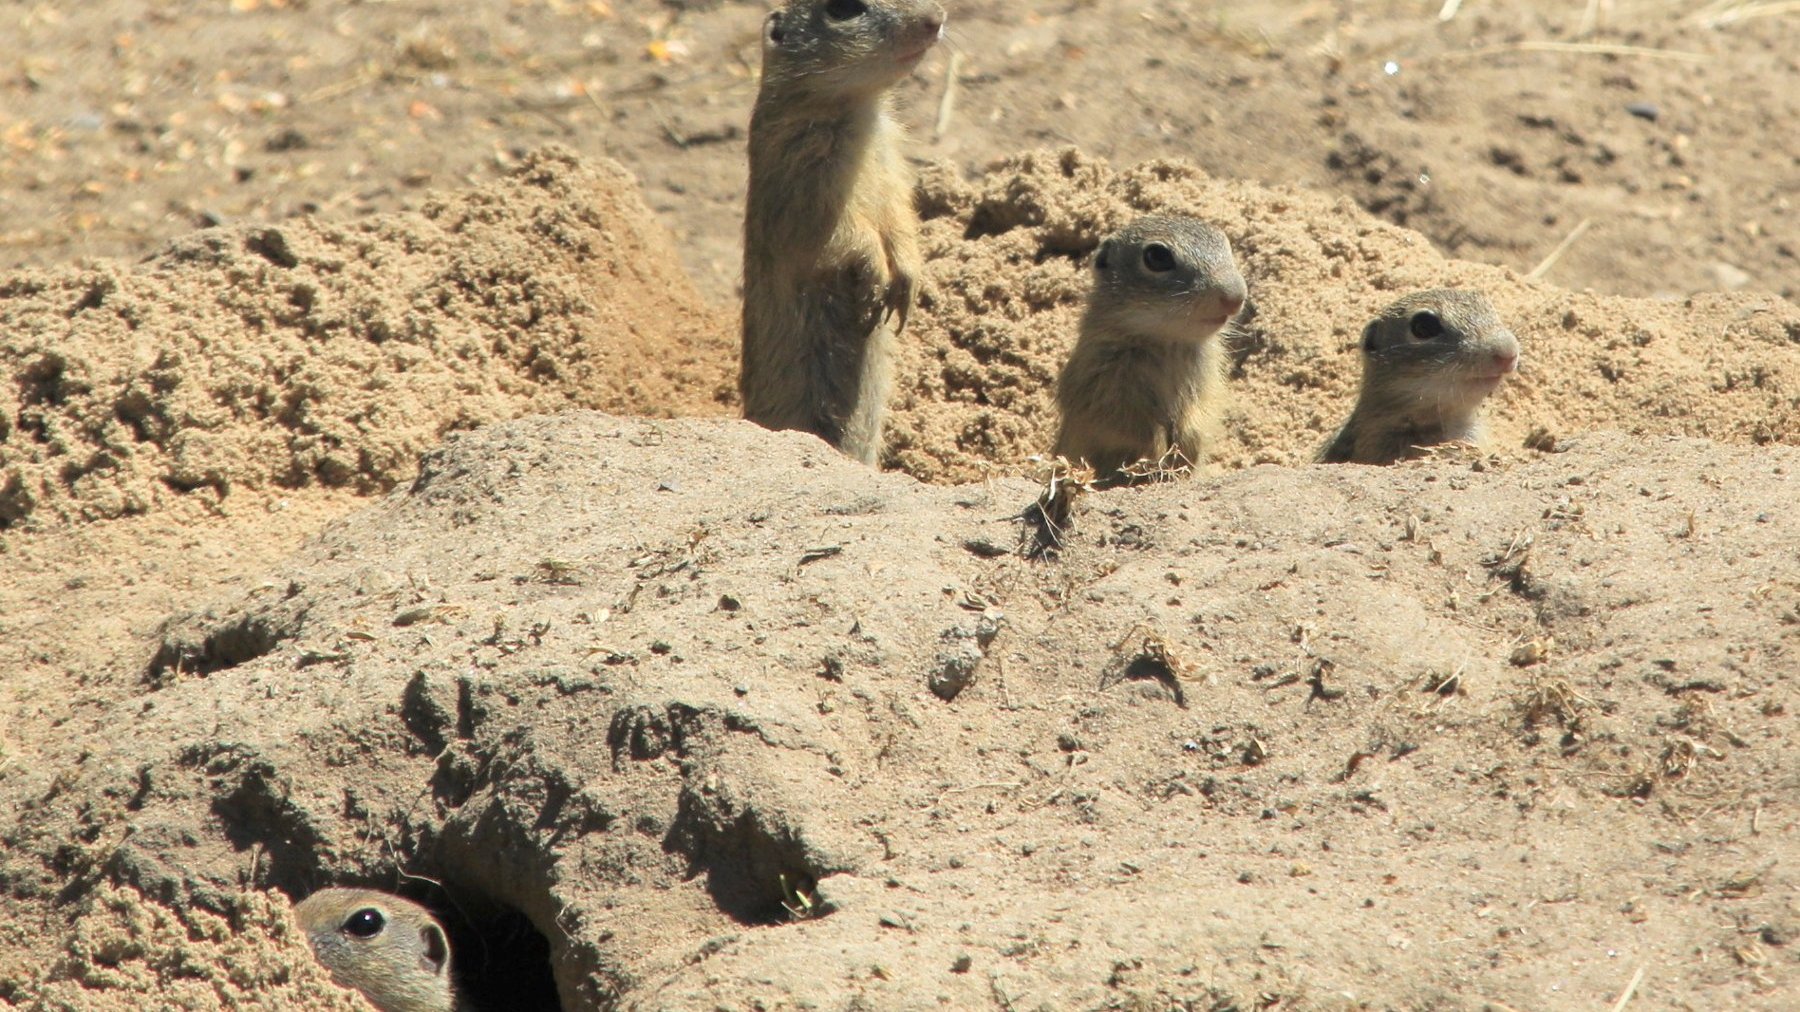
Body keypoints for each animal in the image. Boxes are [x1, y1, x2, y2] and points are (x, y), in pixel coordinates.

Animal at [738, 0, 950, 464]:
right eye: (842, 9)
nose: (936, 18)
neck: (859, 109)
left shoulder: (892, 165)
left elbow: (900, 217)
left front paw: (907, 281)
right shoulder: (802, 180)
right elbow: (840, 234)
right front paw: (877, 278)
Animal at [1051, 213, 1252, 478]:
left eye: (1225, 243)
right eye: (1157, 257)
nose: (1235, 297)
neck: (1169, 342)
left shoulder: (1207, 384)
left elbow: (1200, 414)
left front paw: (1185, 449)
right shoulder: (1104, 386)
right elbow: (1131, 425)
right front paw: (1158, 454)